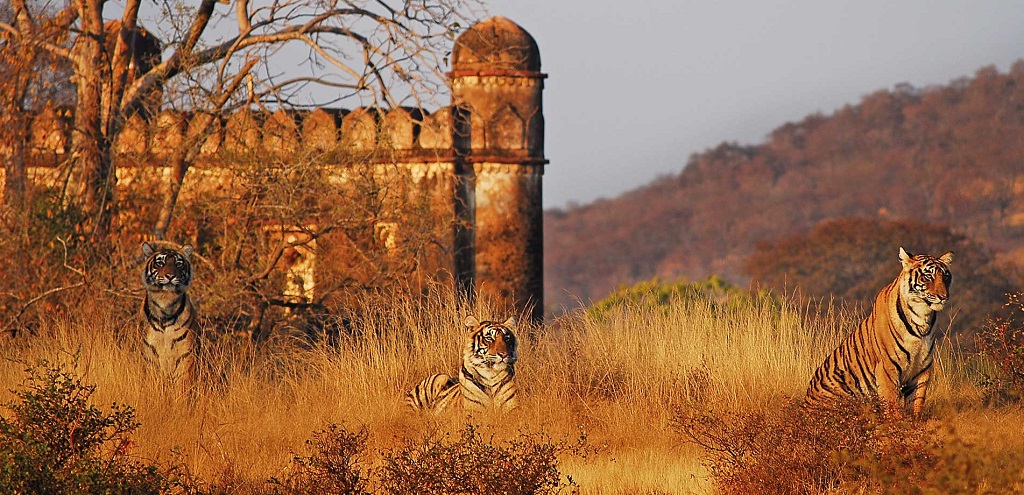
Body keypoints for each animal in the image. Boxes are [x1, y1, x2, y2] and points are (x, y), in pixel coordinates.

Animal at [142, 242, 201, 383]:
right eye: (160, 263)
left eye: (178, 264)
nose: (170, 276)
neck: (165, 302)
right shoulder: (150, 354)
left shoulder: (185, 355)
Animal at [802, 248, 954, 418]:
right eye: (928, 276)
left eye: (946, 277)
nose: (943, 297)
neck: (922, 316)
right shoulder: (887, 367)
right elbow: (892, 403)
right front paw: (896, 423)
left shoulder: (922, 368)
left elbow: (916, 402)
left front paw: (914, 421)